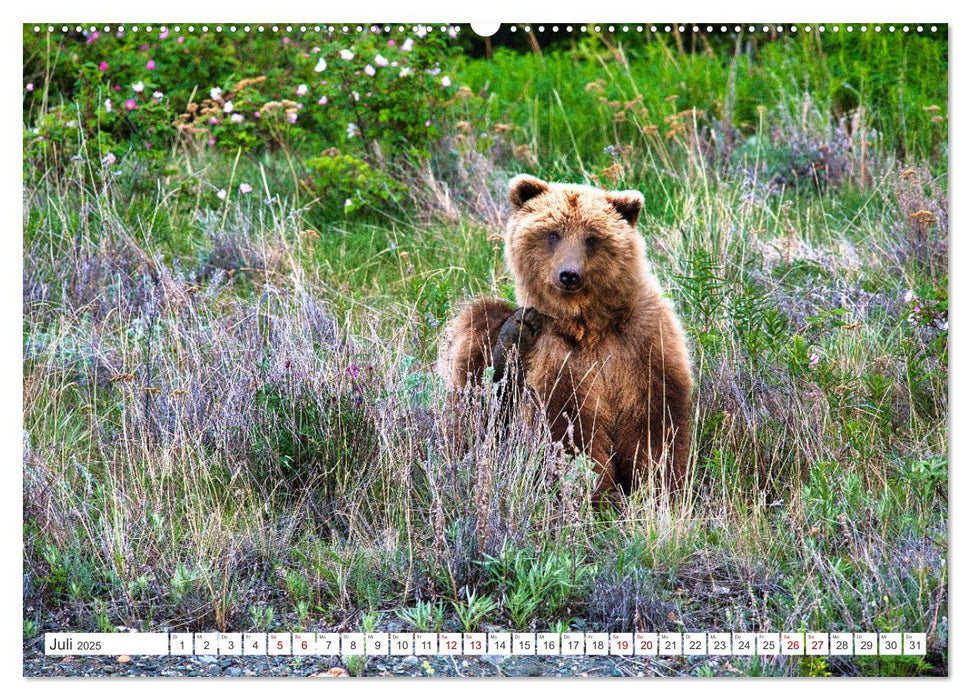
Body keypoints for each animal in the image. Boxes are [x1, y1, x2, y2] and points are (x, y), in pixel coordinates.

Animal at [436, 175, 696, 504]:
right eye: (553, 233)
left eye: (592, 238)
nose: (569, 275)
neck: (586, 324)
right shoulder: (556, 355)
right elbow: (570, 427)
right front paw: (594, 491)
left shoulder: (643, 339)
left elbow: (654, 421)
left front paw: (657, 487)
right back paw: (511, 340)